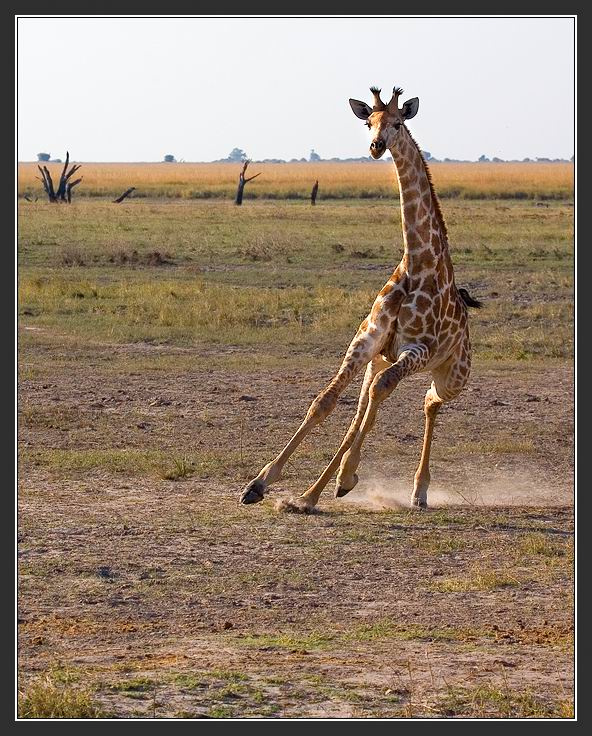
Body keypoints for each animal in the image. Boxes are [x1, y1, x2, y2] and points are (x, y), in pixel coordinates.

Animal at [240, 85, 482, 511]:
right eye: (369, 121)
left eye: (398, 122)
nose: (376, 145)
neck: (418, 262)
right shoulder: (367, 340)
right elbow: (325, 401)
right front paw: (261, 482)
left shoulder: (418, 349)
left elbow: (381, 392)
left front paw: (339, 477)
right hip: (382, 358)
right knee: (367, 407)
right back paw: (324, 488)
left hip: (453, 375)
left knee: (427, 402)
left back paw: (415, 490)